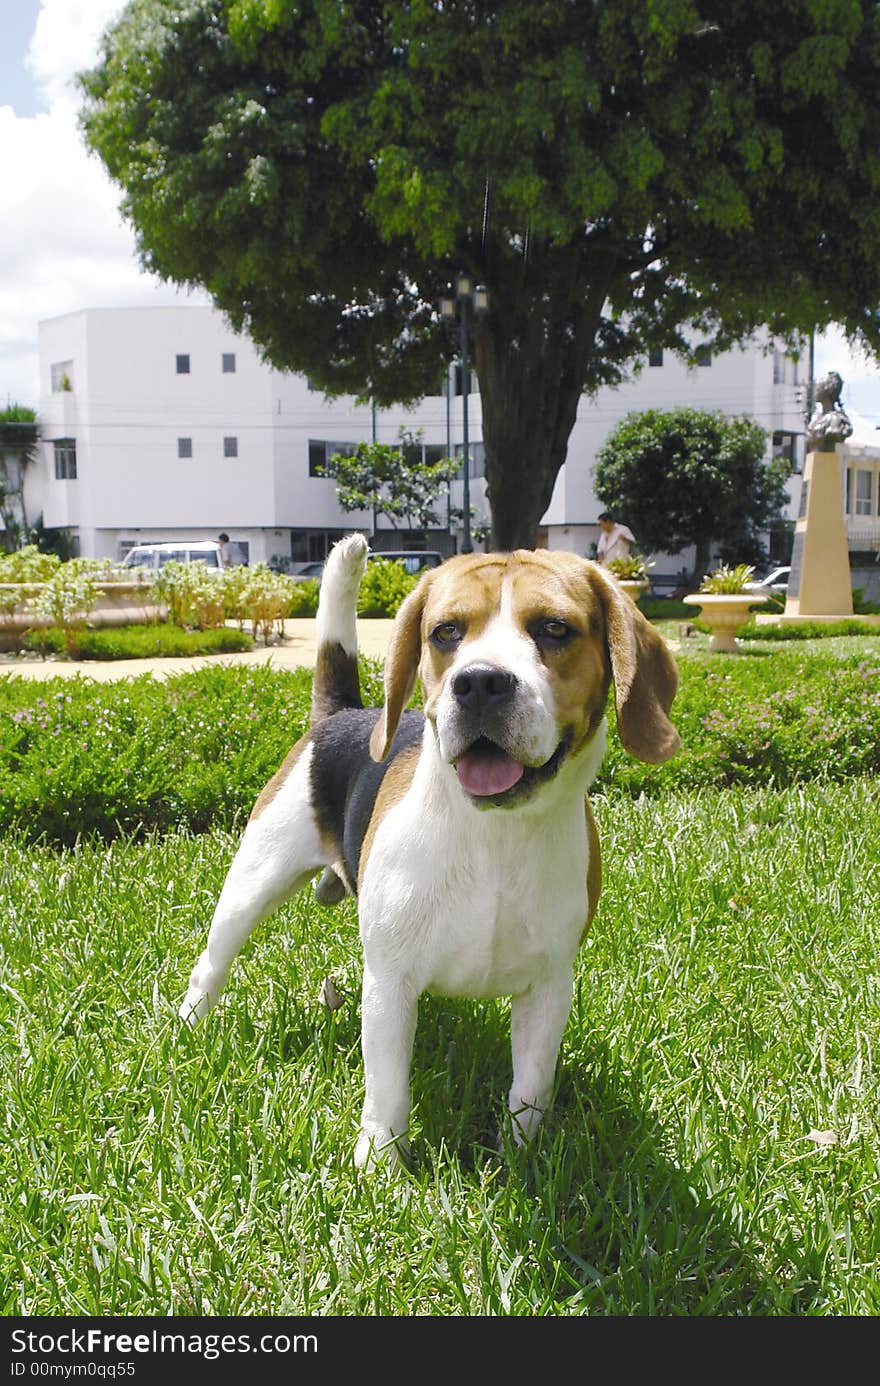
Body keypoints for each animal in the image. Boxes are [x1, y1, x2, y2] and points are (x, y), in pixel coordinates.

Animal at [182, 534, 681, 1164]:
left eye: (554, 629)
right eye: (445, 632)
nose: (481, 682)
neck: (495, 838)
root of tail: (343, 712)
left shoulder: (549, 986)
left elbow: (531, 1086)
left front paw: (523, 1158)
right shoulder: (390, 984)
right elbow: (388, 1090)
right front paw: (379, 1166)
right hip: (252, 884)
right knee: (212, 965)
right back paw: (189, 1025)